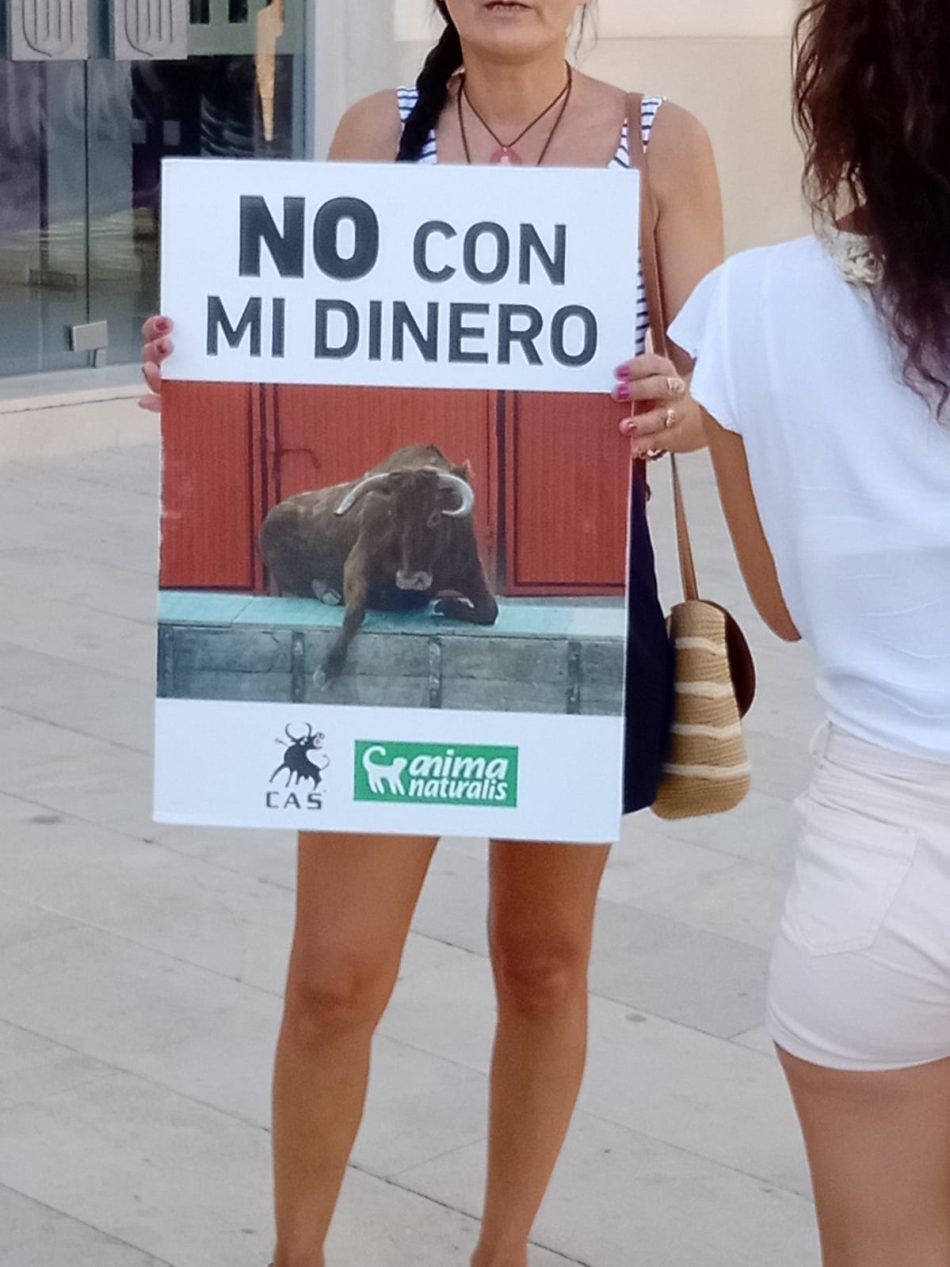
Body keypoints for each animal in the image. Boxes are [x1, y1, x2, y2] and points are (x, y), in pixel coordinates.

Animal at [257, 445, 501, 684]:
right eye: (393, 515)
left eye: (434, 517)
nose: (410, 579)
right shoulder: (359, 559)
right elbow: (354, 613)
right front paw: (328, 666)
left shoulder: (469, 567)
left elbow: (490, 610)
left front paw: (445, 605)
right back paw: (327, 592)